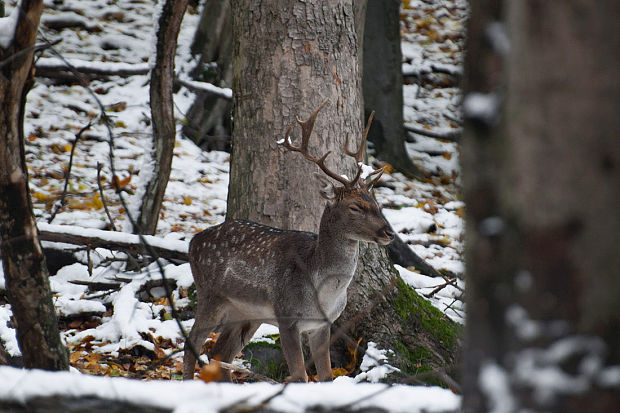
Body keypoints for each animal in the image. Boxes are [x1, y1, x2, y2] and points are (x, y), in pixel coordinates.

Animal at [182, 99, 394, 380]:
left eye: (377, 204)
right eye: (355, 207)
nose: (389, 233)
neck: (323, 293)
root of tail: (193, 240)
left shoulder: (323, 324)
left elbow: (326, 376)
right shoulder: (287, 317)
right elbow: (300, 376)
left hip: (246, 312)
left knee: (220, 352)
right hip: (210, 293)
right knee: (192, 342)